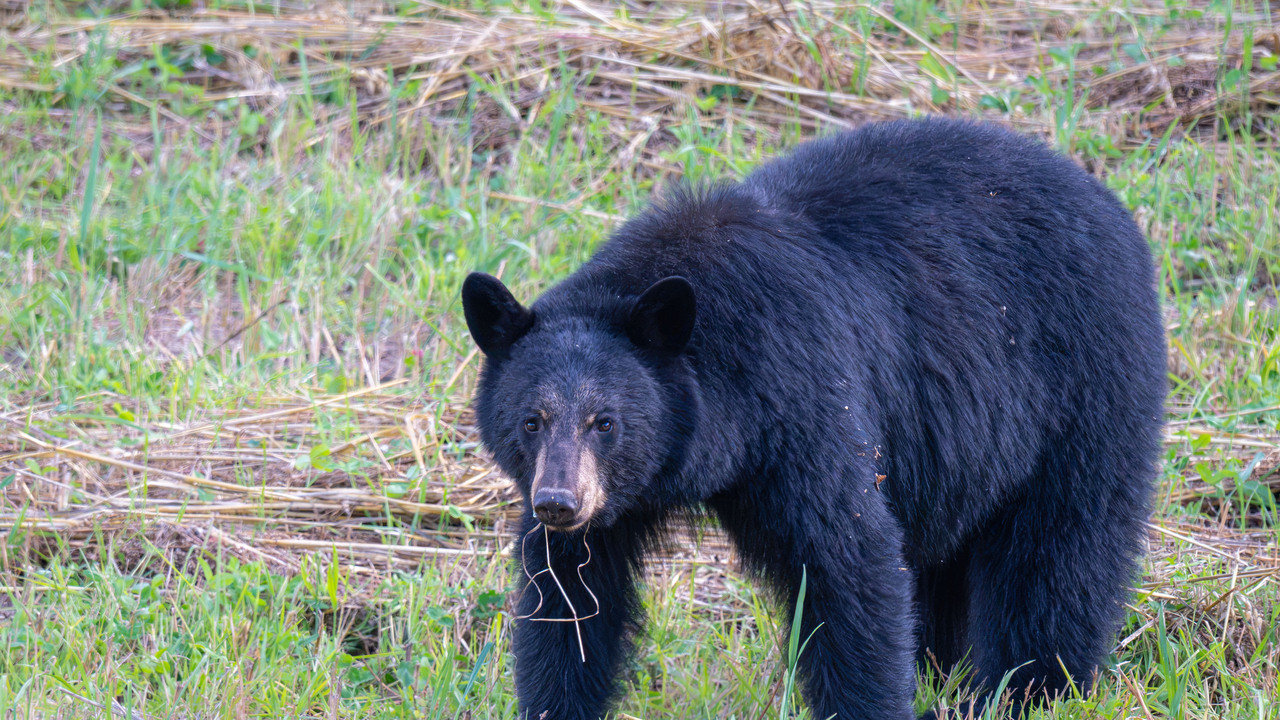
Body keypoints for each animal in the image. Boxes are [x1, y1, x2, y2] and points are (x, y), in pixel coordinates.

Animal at [460, 117, 1166, 720]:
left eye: (605, 422)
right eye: (531, 421)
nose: (558, 501)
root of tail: (1103, 196)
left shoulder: (803, 401)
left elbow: (846, 559)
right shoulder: (612, 504)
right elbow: (571, 597)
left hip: (1080, 387)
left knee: (1057, 552)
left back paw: (1026, 688)